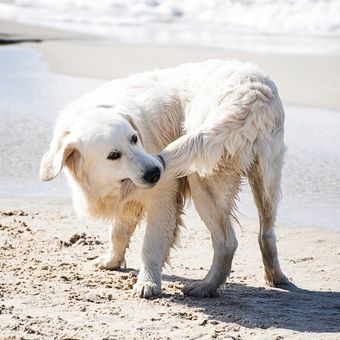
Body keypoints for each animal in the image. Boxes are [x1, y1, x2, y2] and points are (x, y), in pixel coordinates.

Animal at [40, 60, 290, 298]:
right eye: (113, 155)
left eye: (134, 138)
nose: (155, 172)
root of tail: (253, 93)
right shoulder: (127, 200)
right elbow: (118, 232)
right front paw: (112, 261)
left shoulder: (162, 196)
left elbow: (150, 245)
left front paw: (148, 283)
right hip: (266, 179)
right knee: (266, 233)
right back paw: (275, 277)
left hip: (203, 178)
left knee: (227, 242)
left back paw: (205, 287)